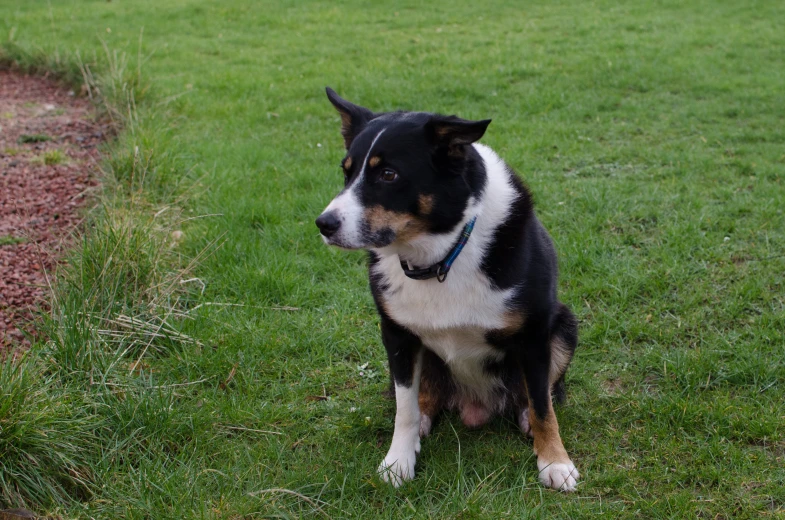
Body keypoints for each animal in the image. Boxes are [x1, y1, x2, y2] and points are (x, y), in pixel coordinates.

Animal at [316, 89, 580, 492]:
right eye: (347, 172)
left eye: (389, 174)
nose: (324, 224)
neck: (441, 256)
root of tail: (476, 405)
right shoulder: (397, 334)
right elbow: (404, 409)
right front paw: (399, 459)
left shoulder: (535, 334)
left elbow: (541, 405)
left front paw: (554, 461)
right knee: (422, 397)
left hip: (564, 325)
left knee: (540, 395)